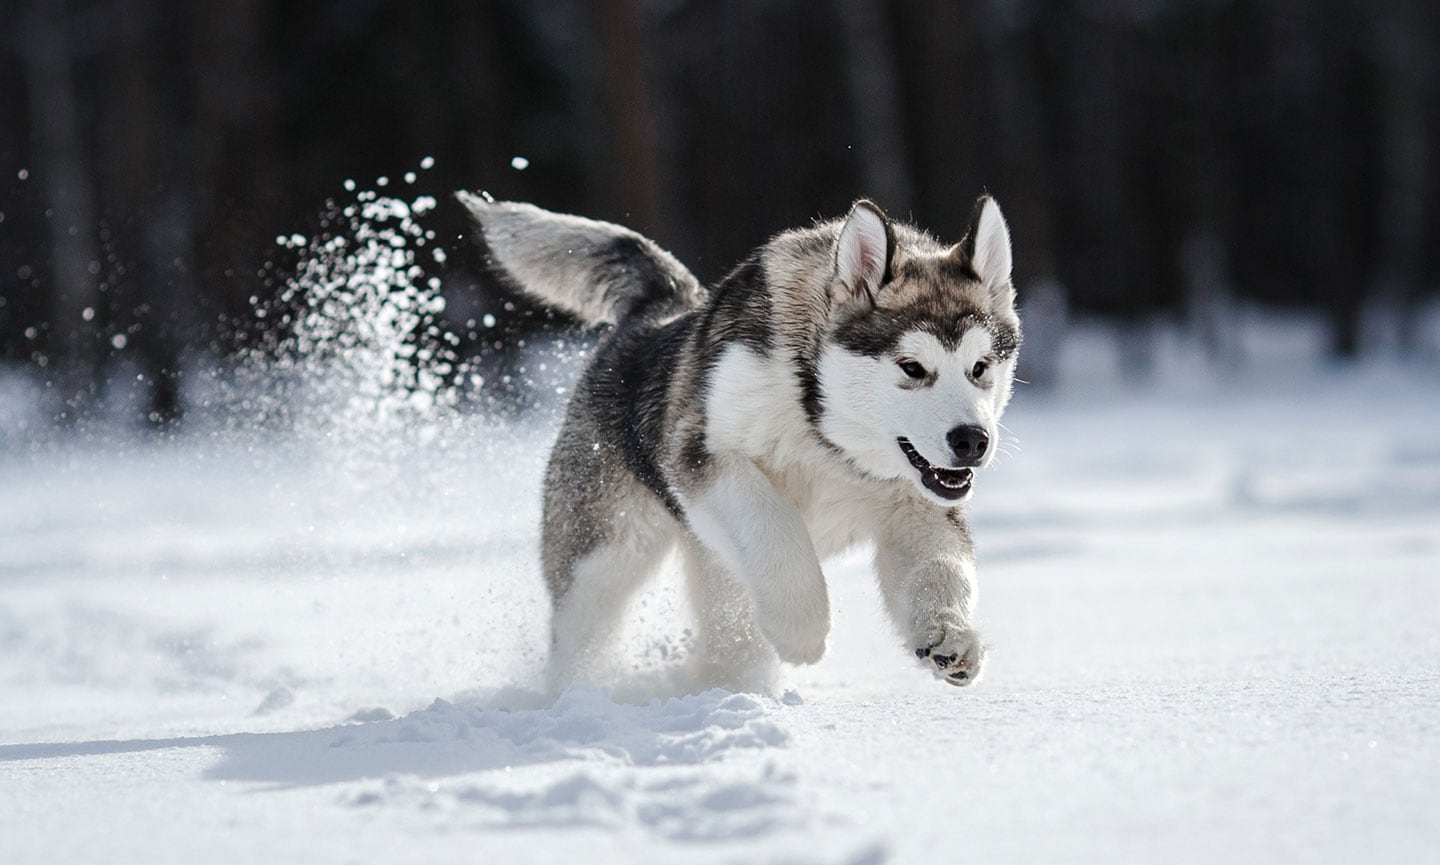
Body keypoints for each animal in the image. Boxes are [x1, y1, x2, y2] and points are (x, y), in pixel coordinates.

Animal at [455, 188, 1019, 687]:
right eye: (912, 367)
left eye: (980, 368)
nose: (972, 441)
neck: (823, 430)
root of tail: (658, 311)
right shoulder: (704, 458)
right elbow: (777, 531)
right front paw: (802, 631)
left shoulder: (917, 501)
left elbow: (939, 566)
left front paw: (949, 636)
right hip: (605, 556)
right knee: (583, 632)